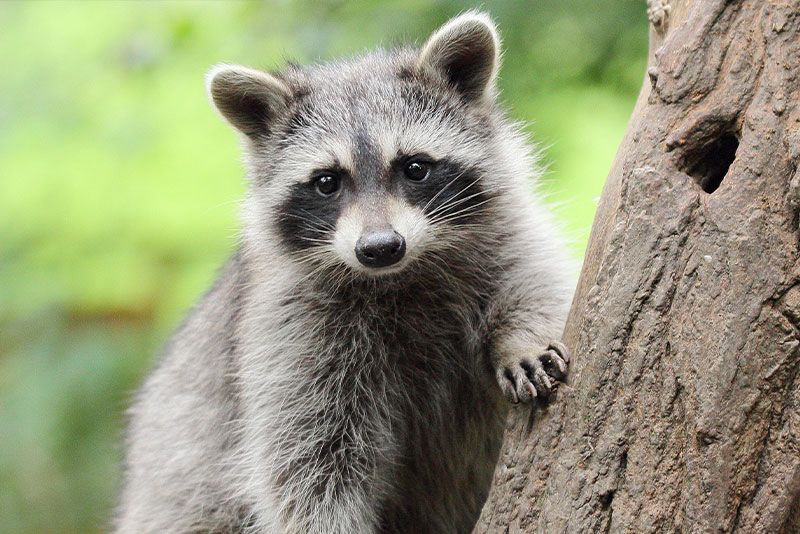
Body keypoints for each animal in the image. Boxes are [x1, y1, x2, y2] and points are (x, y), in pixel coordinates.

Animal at [114, 12, 576, 534]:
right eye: (326, 182)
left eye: (415, 167)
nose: (379, 248)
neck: (401, 274)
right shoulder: (292, 329)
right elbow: (309, 461)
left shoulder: (507, 232)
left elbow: (536, 281)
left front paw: (522, 338)